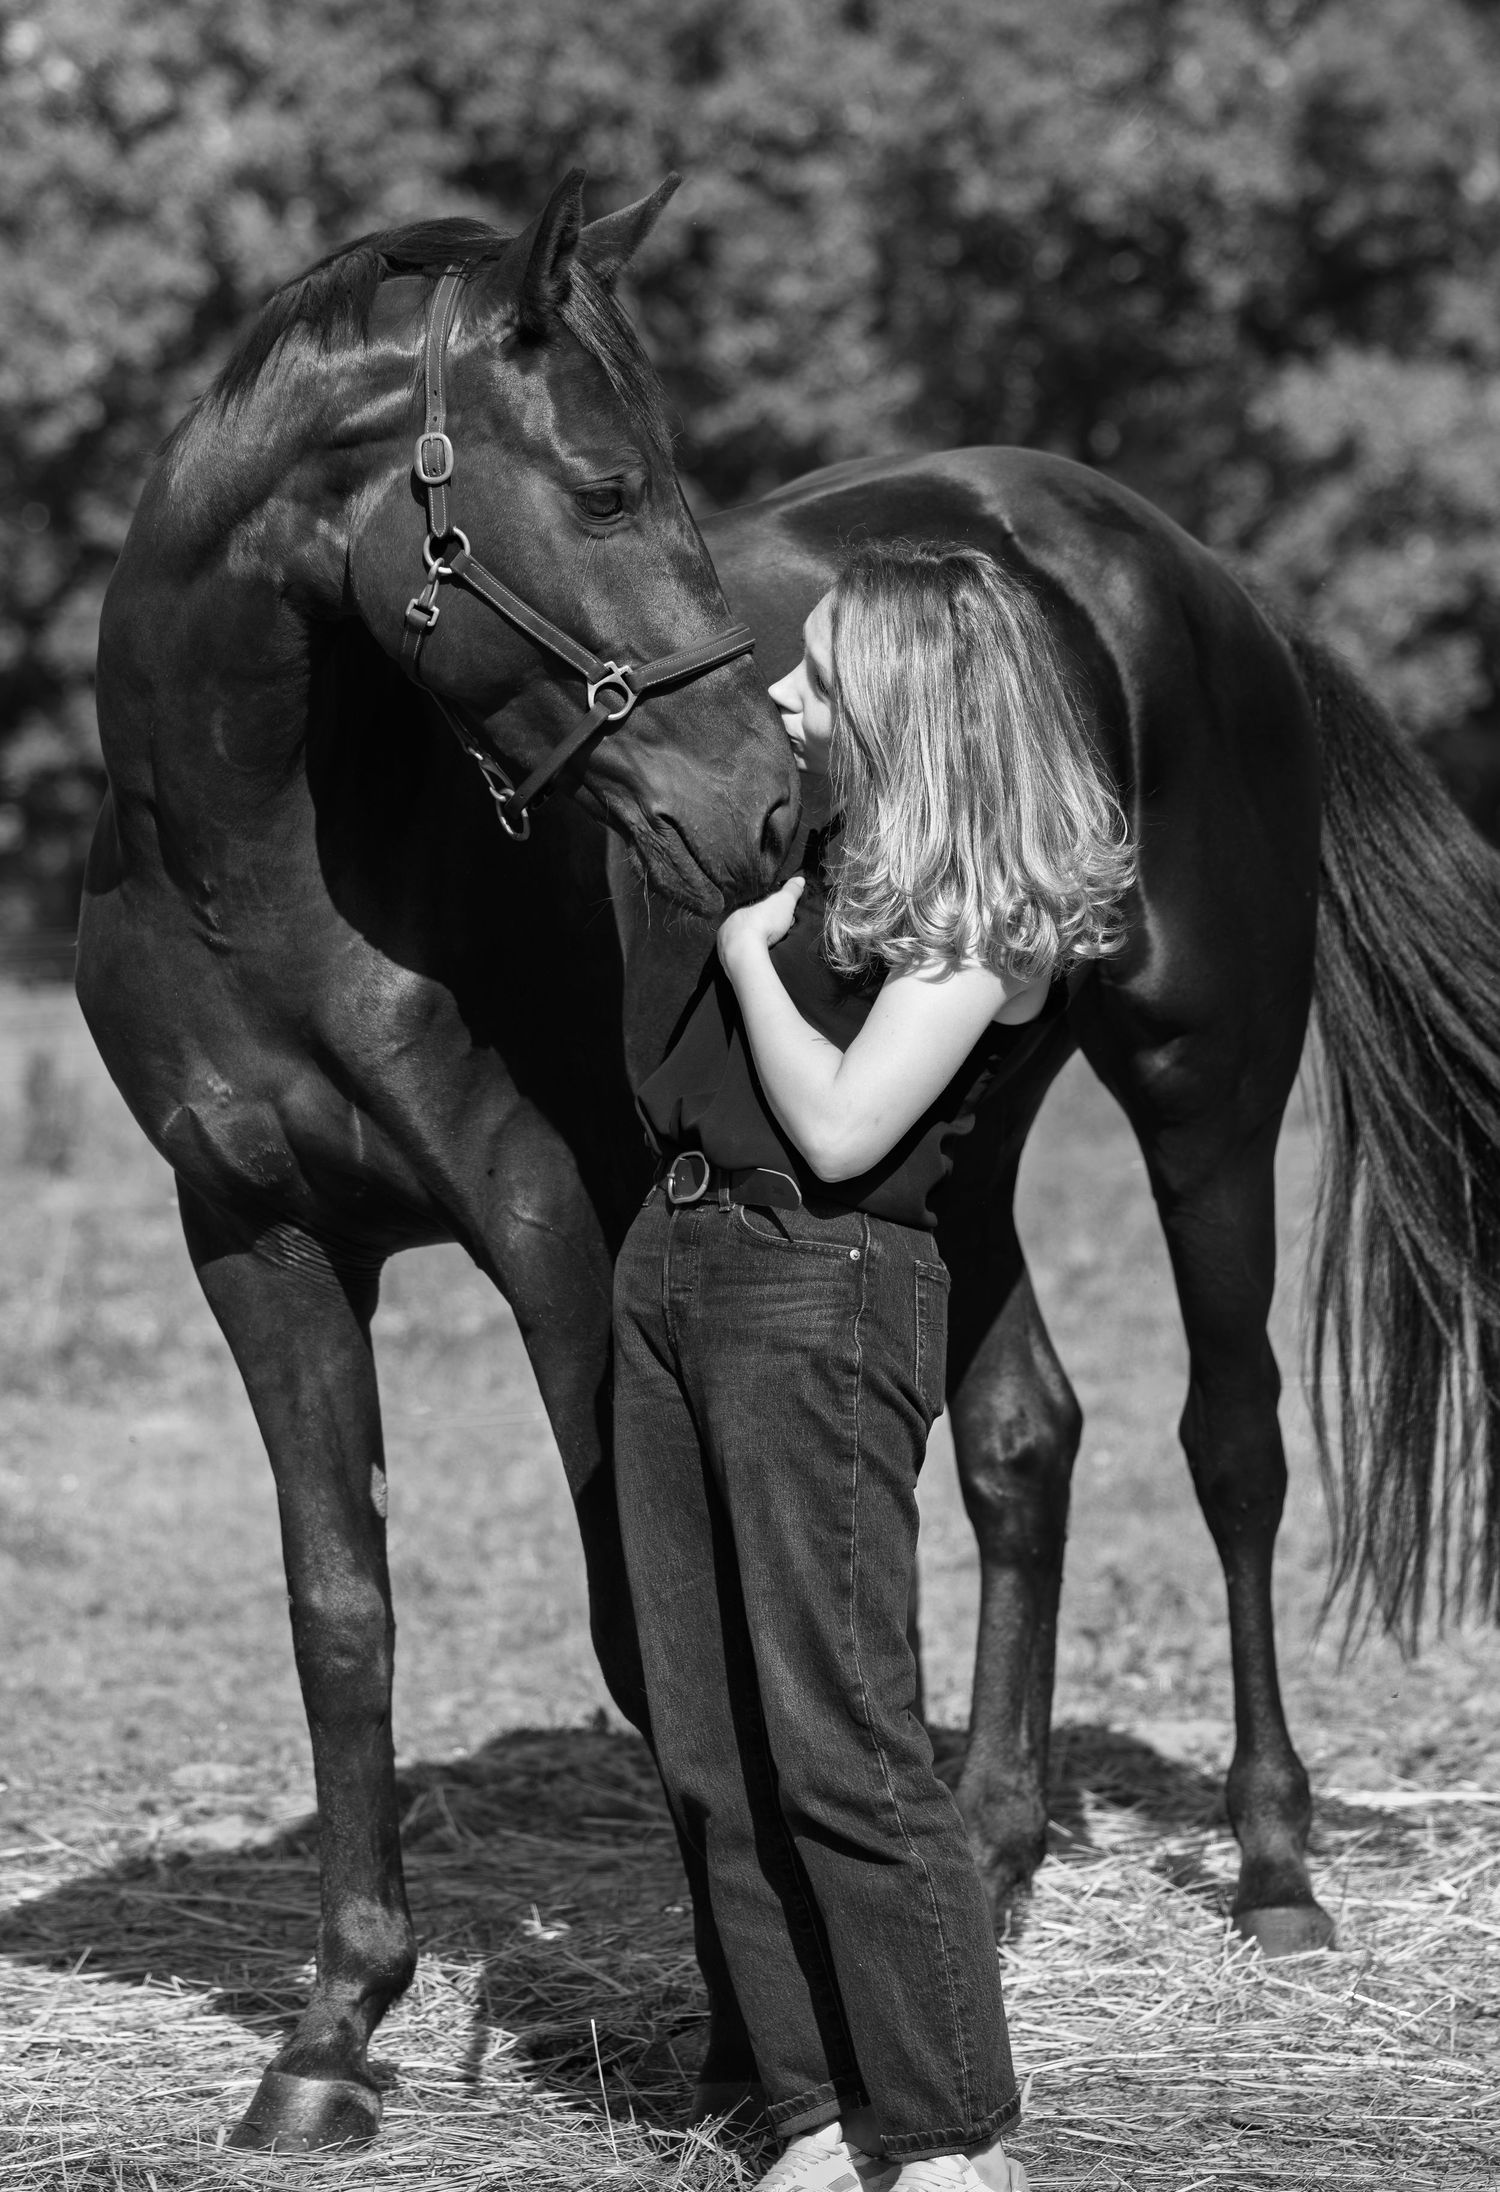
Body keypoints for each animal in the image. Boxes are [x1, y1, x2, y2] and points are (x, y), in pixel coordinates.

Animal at [76, 174, 798, 2154]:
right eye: (608, 492)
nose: (775, 808)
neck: (255, 877)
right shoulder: (256, 1243)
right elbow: (342, 1614)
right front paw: (328, 2036)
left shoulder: (557, 1232)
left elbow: (644, 1614)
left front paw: (741, 2046)